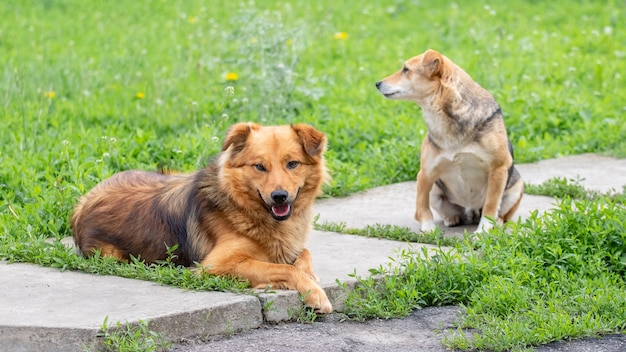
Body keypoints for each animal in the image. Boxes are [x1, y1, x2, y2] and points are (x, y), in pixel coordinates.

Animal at [71, 122, 334, 312]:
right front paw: (314, 293)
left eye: (292, 164)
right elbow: (284, 269)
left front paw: (307, 274)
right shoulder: (214, 266)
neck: (245, 208)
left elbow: (303, 254)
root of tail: (83, 202)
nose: (280, 197)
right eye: (259, 166)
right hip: (112, 255)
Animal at [376, 48, 520, 232]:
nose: (377, 83)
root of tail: (471, 210)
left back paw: (498, 222)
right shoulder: (425, 173)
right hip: (435, 190)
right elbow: (421, 207)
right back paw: (451, 218)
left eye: (405, 69)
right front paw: (428, 228)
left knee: (500, 213)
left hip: (516, 188)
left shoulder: (499, 168)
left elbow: (490, 206)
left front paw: (482, 231)